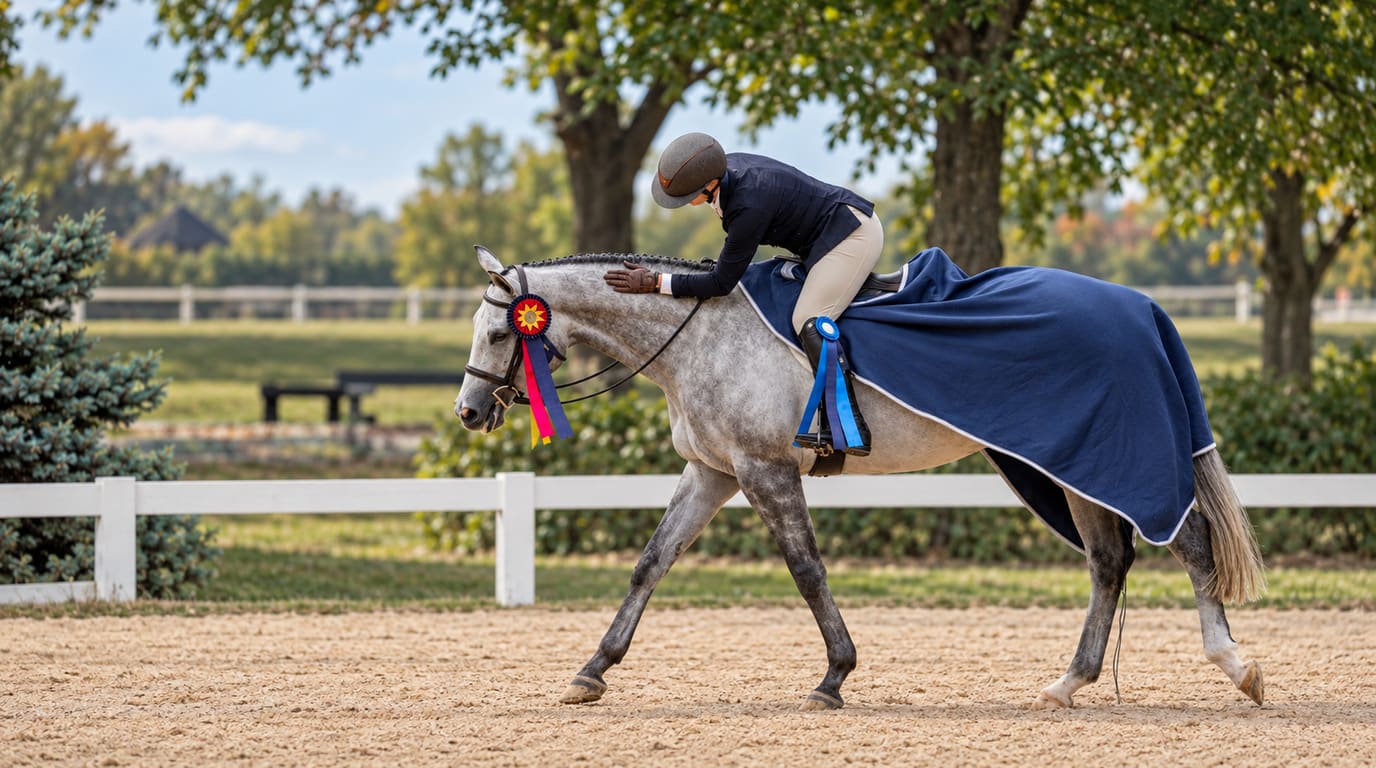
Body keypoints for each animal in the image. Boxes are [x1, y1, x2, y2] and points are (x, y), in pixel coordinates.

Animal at [454, 245, 1266, 711]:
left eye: (498, 331)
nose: (467, 411)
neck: (700, 331)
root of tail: (1142, 305)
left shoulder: (766, 471)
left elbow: (807, 570)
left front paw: (834, 677)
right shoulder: (714, 470)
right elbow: (651, 563)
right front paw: (593, 670)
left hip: (1105, 464)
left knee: (1189, 542)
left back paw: (1235, 666)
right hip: (1072, 467)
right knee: (1108, 562)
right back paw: (1070, 683)